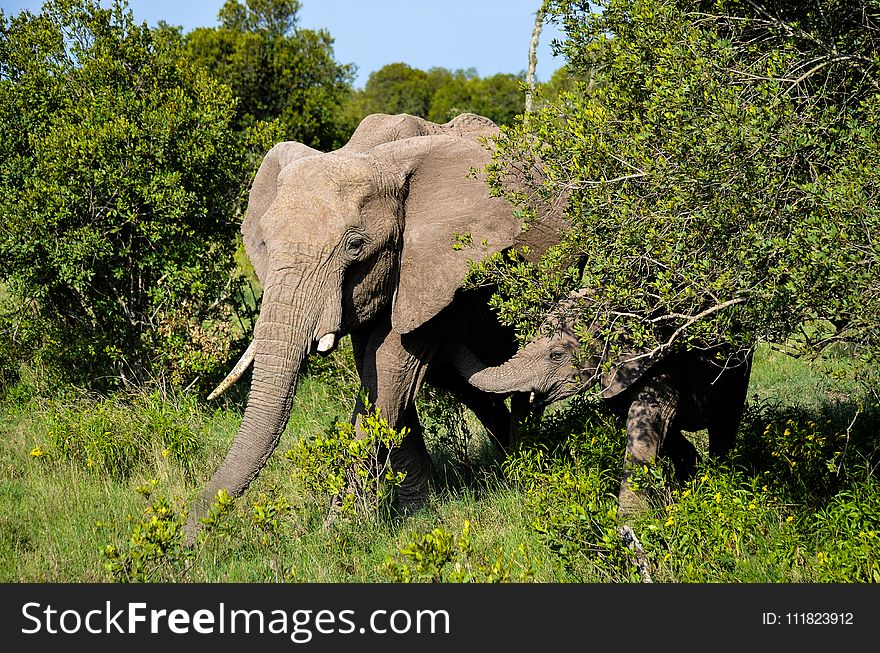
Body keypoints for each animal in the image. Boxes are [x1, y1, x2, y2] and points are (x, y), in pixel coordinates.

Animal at [186, 113, 568, 540]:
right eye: (265, 243)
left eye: (355, 246)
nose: (186, 539)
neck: (375, 158)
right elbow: (383, 384)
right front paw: (418, 511)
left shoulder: (433, 267)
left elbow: (389, 373)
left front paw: (335, 532)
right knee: (473, 389)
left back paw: (526, 469)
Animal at [450, 290, 752, 516]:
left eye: (556, 355)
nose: (451, 330)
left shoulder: (658, 359)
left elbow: (646, 421)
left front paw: (633, 526)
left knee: (725, 423)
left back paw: (719, 480)